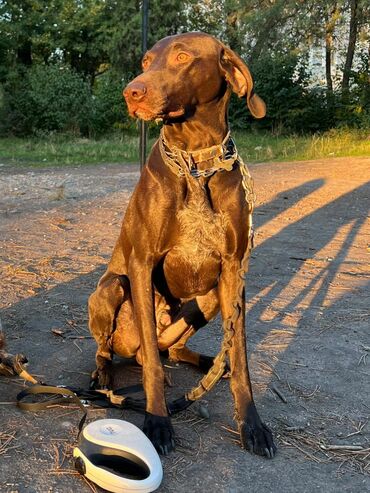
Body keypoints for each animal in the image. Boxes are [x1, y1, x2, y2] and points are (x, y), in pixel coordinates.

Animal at [88, 32, 276, 458]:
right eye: (146, 61)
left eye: (182, 57)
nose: (131, 92)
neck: (196, 163)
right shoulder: (141, 264)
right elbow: (154, 372)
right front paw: (158, 421)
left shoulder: (234, 271)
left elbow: (240, 357)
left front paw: (252, 425)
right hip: (112, 288)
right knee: (122, 353)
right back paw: (104, 378)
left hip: (210, 298)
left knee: (171, 352)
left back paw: (209, 363)